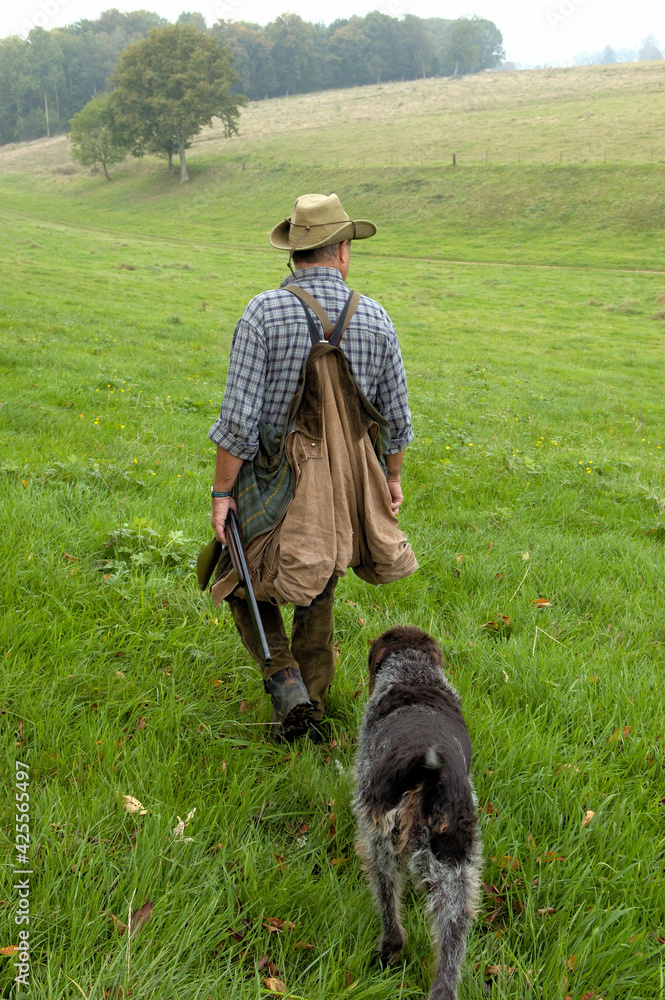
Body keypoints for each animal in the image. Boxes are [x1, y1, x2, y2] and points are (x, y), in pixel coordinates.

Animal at [350, 624, 480, 1000]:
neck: (413, 673)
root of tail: (428, 772)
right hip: (456, 867)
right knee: (452, 939)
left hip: (381, 844)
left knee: (389, 904)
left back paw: (389, 949)